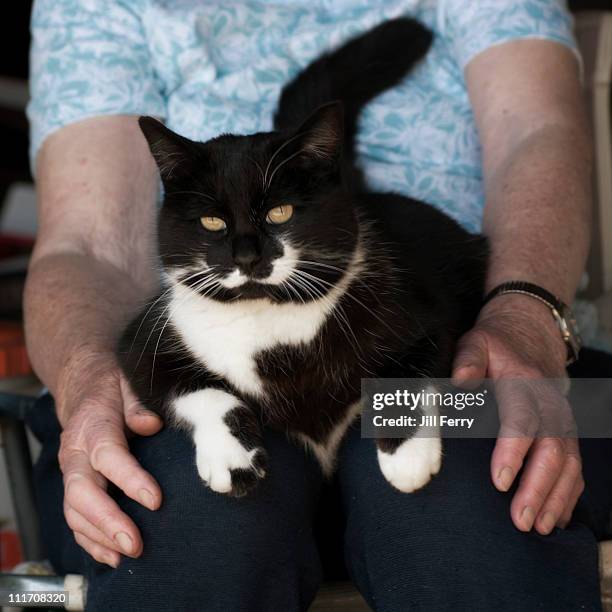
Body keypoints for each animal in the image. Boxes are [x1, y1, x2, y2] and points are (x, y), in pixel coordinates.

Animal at [117, 17, 488, 498]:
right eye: (213, 222)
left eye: (280, 212)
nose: (248, 256)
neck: (268, 323)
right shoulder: (143, 342)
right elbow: (199, 391)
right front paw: (232, 457)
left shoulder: (425, 318)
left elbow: (406, 377)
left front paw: (406, 458)